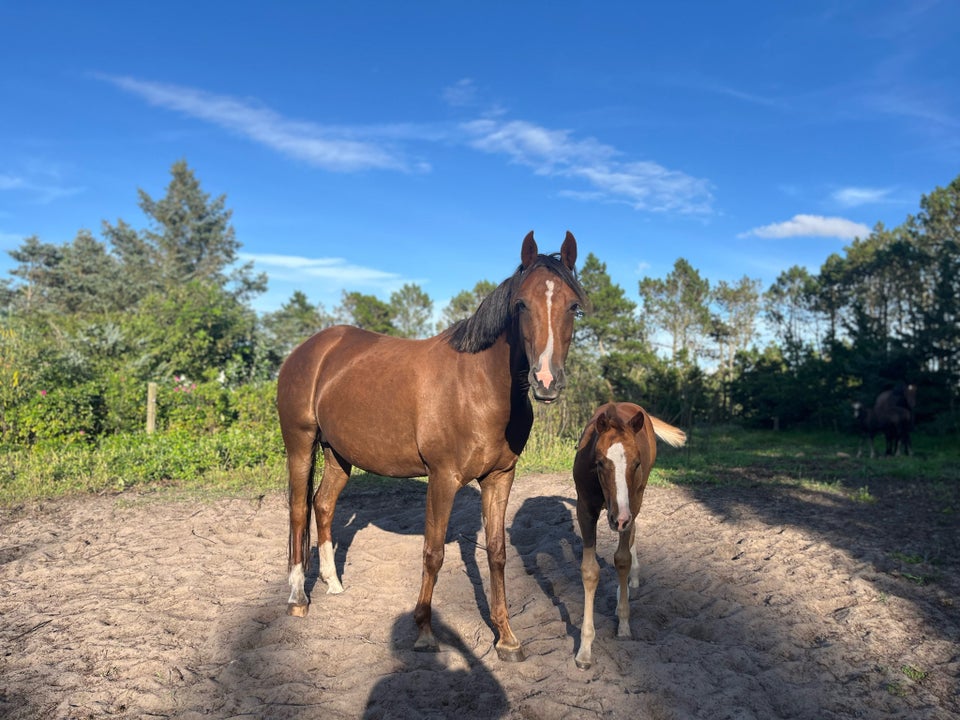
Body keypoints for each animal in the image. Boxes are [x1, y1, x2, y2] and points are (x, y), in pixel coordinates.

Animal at [276, 232, 584, 664]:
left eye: (573, 306)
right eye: (521, 304)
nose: (546, 380)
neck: (477, 386)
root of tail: (312, 349)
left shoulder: (500, 478)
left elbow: (497, 553)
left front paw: (506, 638)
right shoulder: (443, 478)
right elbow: (433, 553)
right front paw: (423, 632)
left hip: (339, 454)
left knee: (322, 504)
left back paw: (333, 583)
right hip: (300, 443)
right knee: (297, 511)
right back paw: (298, 597)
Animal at [572, 400, 688, 668]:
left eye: (636, 463)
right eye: (600, 462)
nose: (620, 519)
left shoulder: (631, 503)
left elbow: (622, 560)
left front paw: (624, 623)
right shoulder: (585, 510)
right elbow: (590, 571)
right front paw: (585, 649)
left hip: (637, 499)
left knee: (632, 533)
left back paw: (629, 583)